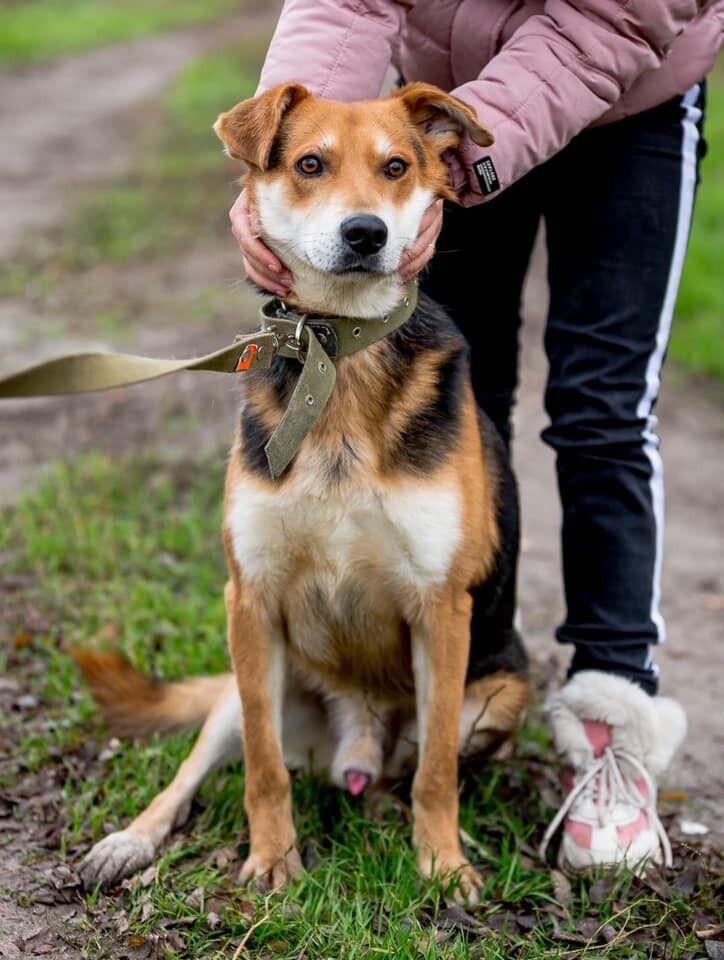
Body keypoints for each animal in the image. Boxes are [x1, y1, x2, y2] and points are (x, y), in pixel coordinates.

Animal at [75, 80, 528, 900]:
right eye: (310, 164)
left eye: (396, 166)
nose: (365, 233)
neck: (337, 356)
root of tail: (352, 743)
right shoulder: (250, 598)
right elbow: (262, 765)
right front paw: (272, 860)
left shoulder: (443, 608)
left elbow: (437, 771)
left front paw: (444, 865)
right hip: (242, 685)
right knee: (194, 770)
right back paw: (130, 841)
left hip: (501, 694)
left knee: (414, 768)